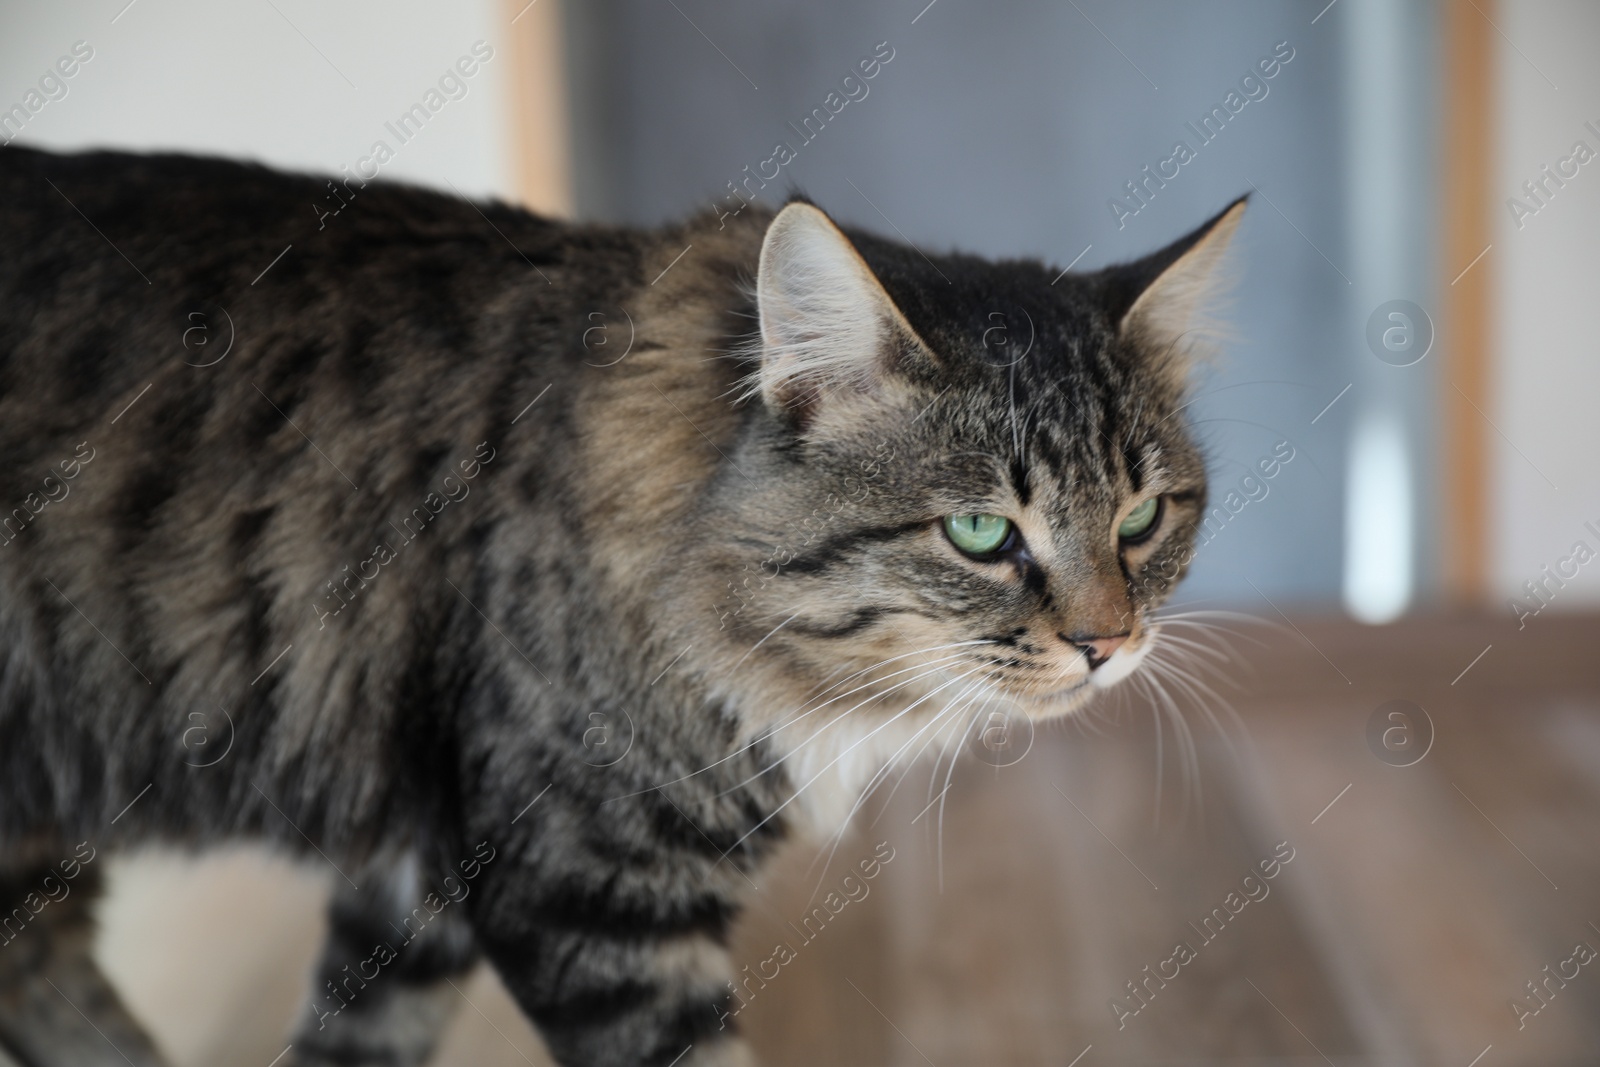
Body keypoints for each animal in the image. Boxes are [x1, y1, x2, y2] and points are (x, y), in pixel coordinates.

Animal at [0, 143, 1241, 1067]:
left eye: (1141, 518)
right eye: (982, 533)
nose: (1108, 642)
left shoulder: (421, 878)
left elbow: (353, 1035)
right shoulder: (584, 892)